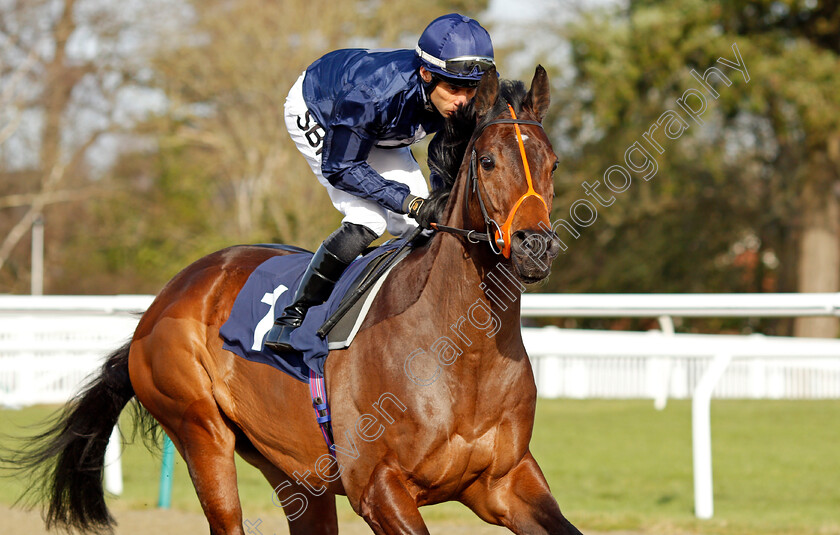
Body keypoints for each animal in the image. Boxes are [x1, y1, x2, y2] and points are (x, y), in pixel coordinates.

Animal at [9, 67, 580, 535]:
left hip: (292, 469)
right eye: (487, 161)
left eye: (552, 164)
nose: (535, 246)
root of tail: (161, 303)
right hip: (199, 430)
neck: (464, 352)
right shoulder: (378, 488)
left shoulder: (505, 482)